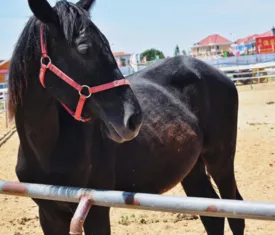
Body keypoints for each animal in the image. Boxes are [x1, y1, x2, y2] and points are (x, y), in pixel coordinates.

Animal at [8, 0, 246, 235]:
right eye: (84, 49)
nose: (133, 118)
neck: (47, 151)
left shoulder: (95, 210)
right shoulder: (49, 216)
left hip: (221, 162)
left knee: (235, 214)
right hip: (192, 168)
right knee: (212, 217)